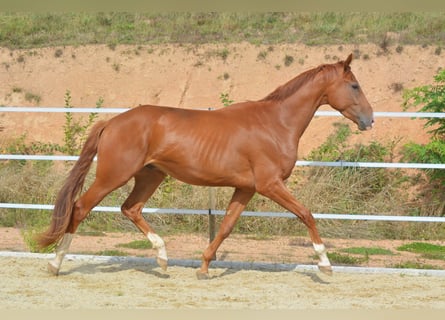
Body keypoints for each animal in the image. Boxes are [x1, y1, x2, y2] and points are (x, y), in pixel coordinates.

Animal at [37, 53, 372, 278]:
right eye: (354, 85)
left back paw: (163, 259)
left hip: (149, 177)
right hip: (113, 176)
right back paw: (55, 263)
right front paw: (325, 265)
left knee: (130, 209)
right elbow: (306, 214)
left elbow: (225, 227)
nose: (369, 119)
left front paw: (204, 267)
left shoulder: (246, 188)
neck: (275, 123)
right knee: (80, 208)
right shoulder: (270, 185)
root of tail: (111, 122)